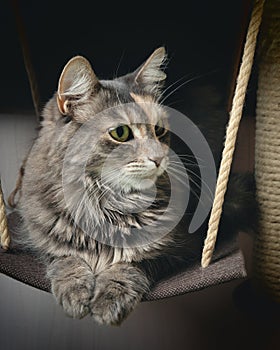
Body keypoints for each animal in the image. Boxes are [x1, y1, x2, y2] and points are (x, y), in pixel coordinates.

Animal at [18, 47, 256, 326]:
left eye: (159, 130)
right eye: (120, 133)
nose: (159, 158)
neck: (110, 204)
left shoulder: (179, 247)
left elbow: (131, 265)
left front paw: (109, 301)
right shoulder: (43, 239)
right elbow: (67, 260)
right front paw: (75, 294)